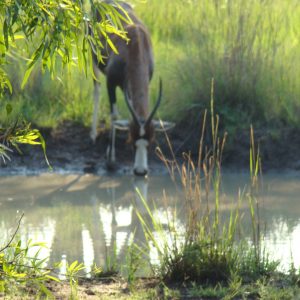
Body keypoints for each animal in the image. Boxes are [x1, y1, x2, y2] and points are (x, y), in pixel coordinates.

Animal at [90, 0, 172, 176]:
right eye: (134, 142)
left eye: (150, 141)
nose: (140, 171)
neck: (135, 43)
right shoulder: (111, 82)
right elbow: (114, 116)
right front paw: (111, 161)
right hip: (92, 57)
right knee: (96, 89)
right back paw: (92, 135)